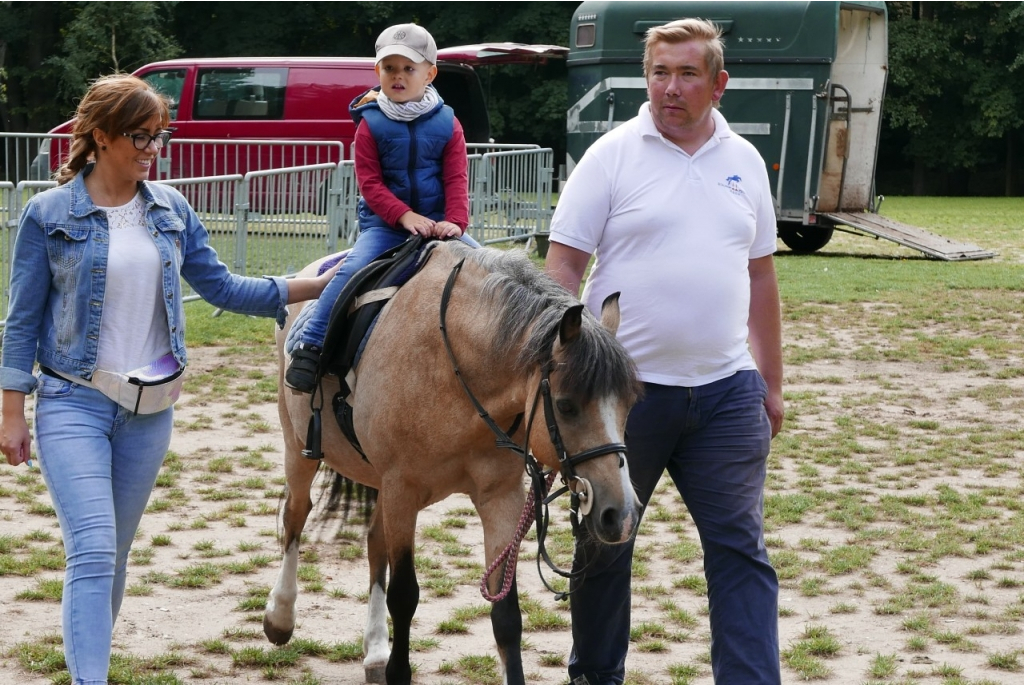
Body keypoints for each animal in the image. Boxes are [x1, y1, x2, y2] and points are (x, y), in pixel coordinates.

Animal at [264, 240, 638, 683]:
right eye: (565, 405)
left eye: (632, 402)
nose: (622, 515)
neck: (454, 368)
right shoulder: (402, 489)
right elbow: (404, 595)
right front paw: (398, 671)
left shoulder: (500, 497)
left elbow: (506, 615)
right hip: (298, 447)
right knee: (296, 515)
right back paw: (280, 617)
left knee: (373, 541)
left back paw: (375, 651)